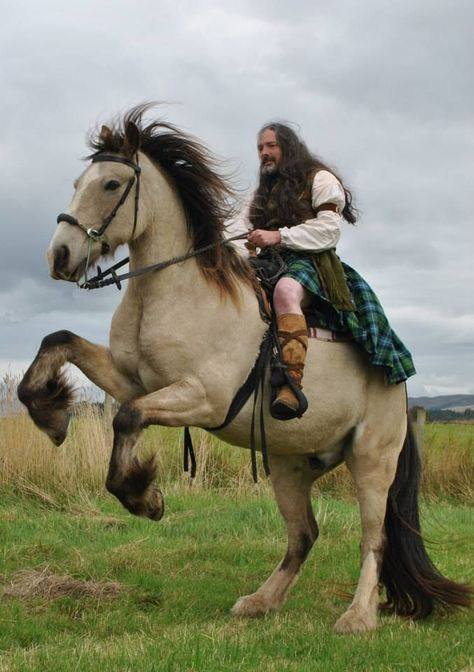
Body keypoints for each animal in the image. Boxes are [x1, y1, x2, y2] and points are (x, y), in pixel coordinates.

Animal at [17, 105, 470, 632]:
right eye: (78, 182)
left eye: (111, 184)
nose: (59, 256)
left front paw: (144, 498)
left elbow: (126, 417)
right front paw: (51, 415)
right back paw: (260, 601)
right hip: (292, 464)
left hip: (372, 459)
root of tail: (402, 387)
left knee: (372, 537)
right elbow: (58, 342)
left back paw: (357, 618)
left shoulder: (204, 398)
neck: (172, 292)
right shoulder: (132, 380)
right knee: (303, 534)